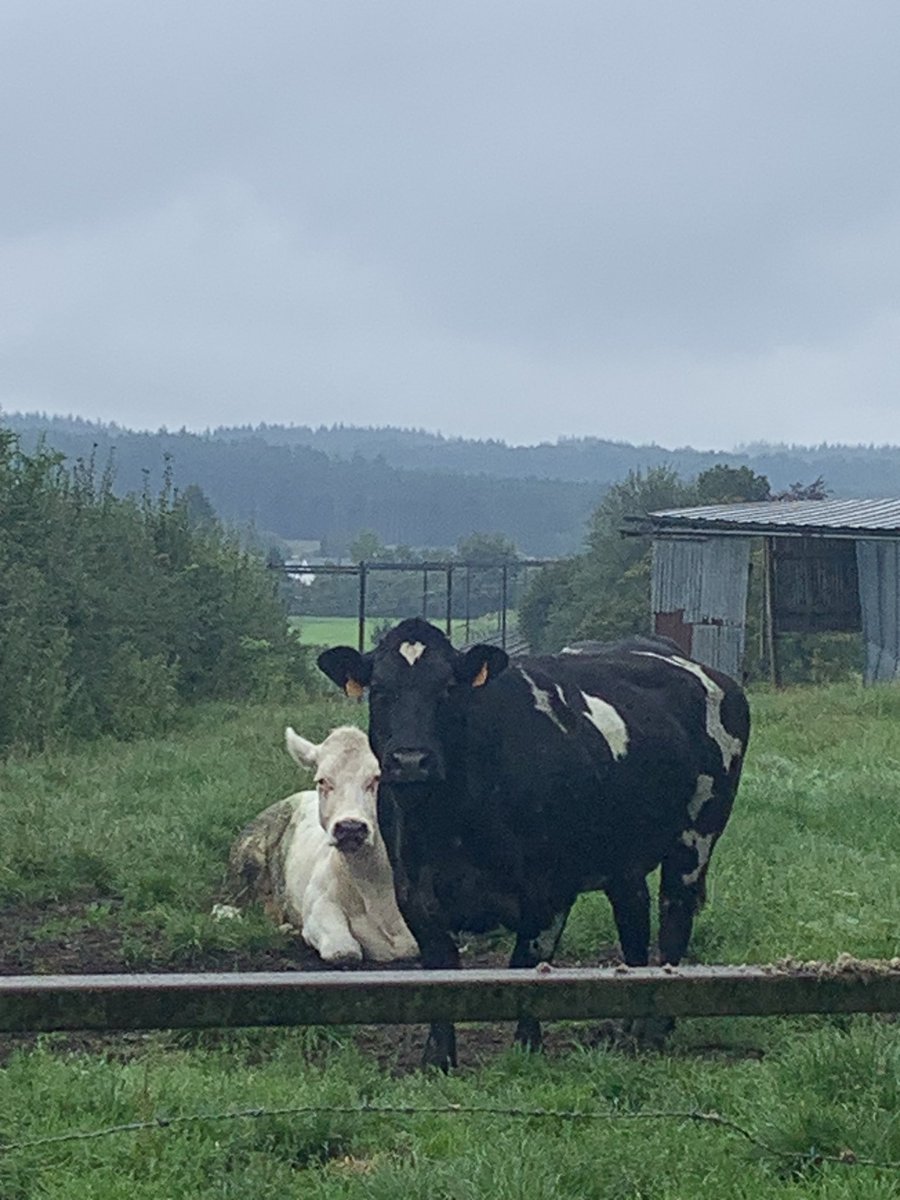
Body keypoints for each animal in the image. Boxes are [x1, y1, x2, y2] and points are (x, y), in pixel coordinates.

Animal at [224, 724, 418, 964]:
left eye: (376, 779)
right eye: (323, 780)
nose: (350, 827)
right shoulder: (318, 901)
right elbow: (343, 950)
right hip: (247, 858)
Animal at [317, 616, 750, 1068]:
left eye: (449, 688)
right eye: (380, 690)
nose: (411, 760)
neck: (451, 822)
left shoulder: (550, 890)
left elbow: (529, 963)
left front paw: (527, 1047)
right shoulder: (414, 892)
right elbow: (440, 969)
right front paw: (438, 1059)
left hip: (696, 836)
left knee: (674, 915)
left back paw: (656, 1028)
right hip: (621, 854)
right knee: (633, 916)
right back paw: (630, 1022)